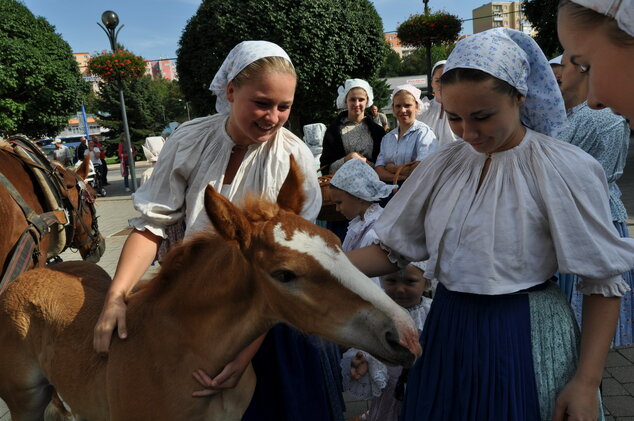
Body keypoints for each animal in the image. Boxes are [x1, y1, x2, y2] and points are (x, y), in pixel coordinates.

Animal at [0, 158, 420, 420]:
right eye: (285, 274)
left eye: (336, 244)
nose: (405, 335)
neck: (182, 353)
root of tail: (28, 276)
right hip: (25, 401)